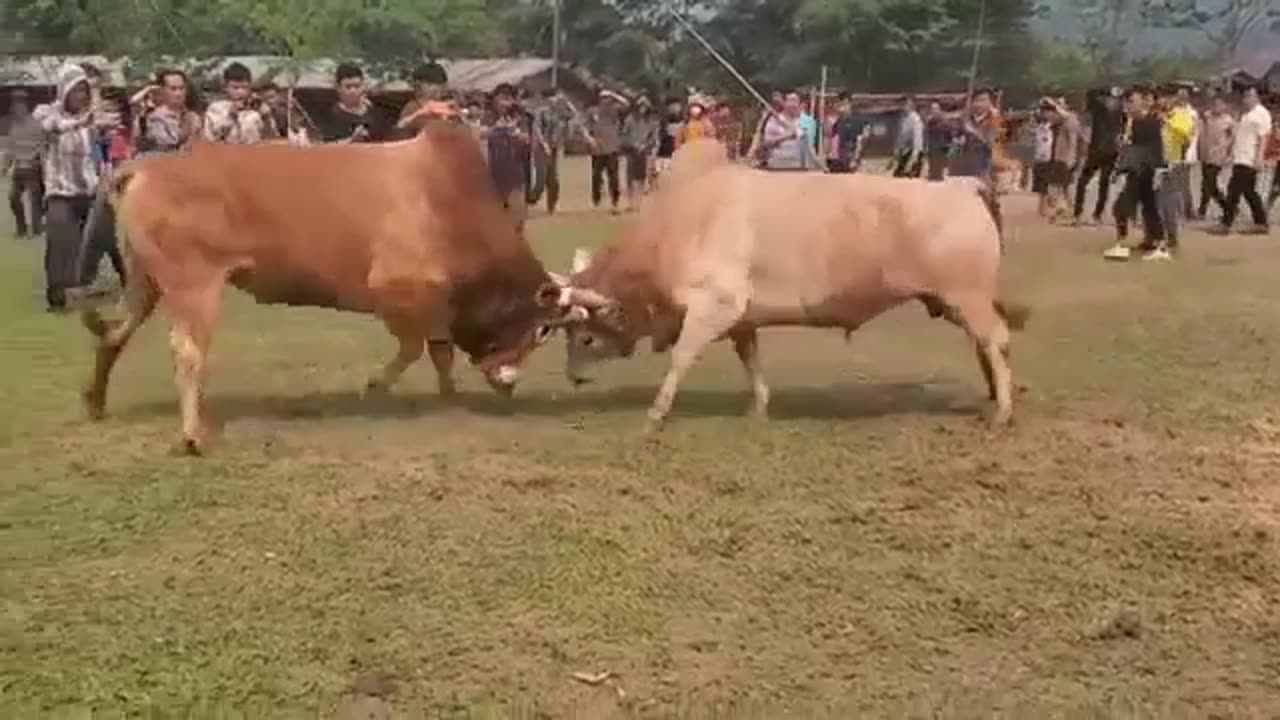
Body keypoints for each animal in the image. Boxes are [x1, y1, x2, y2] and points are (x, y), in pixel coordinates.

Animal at [81, 125, 568, 454]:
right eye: (542, 329)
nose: (509, 383)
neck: (448, 201)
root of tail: (146, 164)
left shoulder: (432, 305)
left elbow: (439, 350)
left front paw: (448, 395)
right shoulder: (397, 293)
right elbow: (418, 347)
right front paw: (376, 386)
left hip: (146, 282)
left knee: (113, 333)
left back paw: (96, 402)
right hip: (194, 286)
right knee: (186, 353)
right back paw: (192, 435)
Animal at [549, 139, 1029, 430]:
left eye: (585, 336)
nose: (573, 378)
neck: (677, 224)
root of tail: (962, 186)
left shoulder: (714, 307)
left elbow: (681, 359)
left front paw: (655, 414)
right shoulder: (743, 320)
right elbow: (751, 361)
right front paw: (758, 407)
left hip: (967, 297)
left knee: (996, 340)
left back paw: (1003, 410)